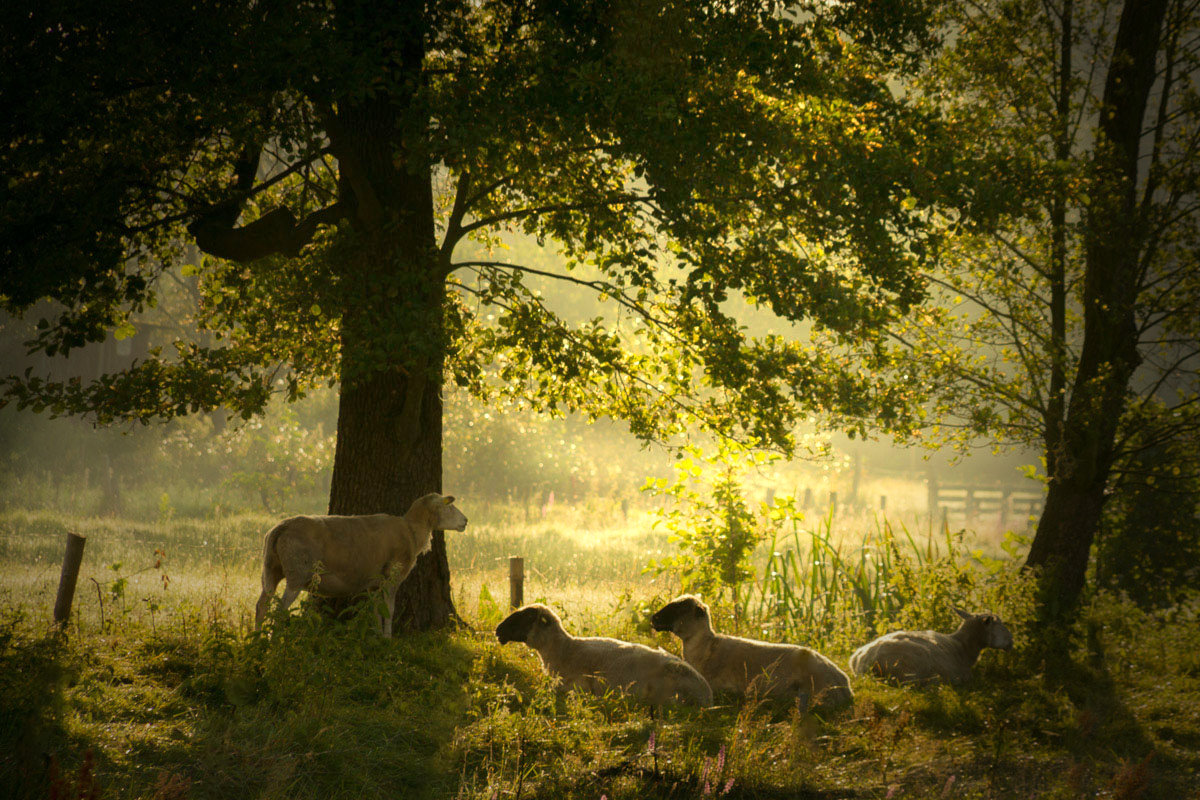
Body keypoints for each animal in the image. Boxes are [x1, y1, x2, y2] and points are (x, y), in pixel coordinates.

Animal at [254, 494, 468, 638]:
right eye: (449, 507)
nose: (466, 521)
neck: (412, 531)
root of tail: (280, 528)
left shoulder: (374, 583)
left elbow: (376, 610)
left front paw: (376, 635)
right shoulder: (392, 577)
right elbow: (389, 609)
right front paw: (388, 638)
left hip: (271, 570)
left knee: (262, 605)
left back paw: (257, 641)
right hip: (296, 573)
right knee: (279, 610)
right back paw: (274, 641)